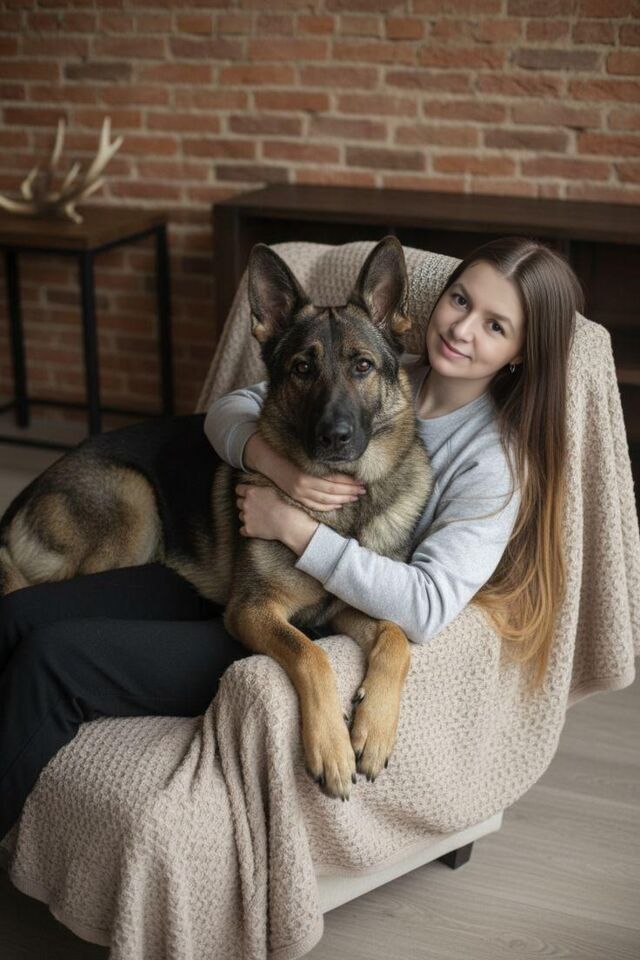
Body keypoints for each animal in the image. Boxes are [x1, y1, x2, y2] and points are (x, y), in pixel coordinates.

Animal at [0, 236, 433, 801]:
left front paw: (373, 731)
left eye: (362, 366)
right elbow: (310, 655)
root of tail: (30, 489)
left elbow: (396, 638)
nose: (334, 436)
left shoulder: (344, 612)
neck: (340, 512)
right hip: (134, 503)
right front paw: (332, 748)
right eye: (302, 369)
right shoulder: (252, 611)